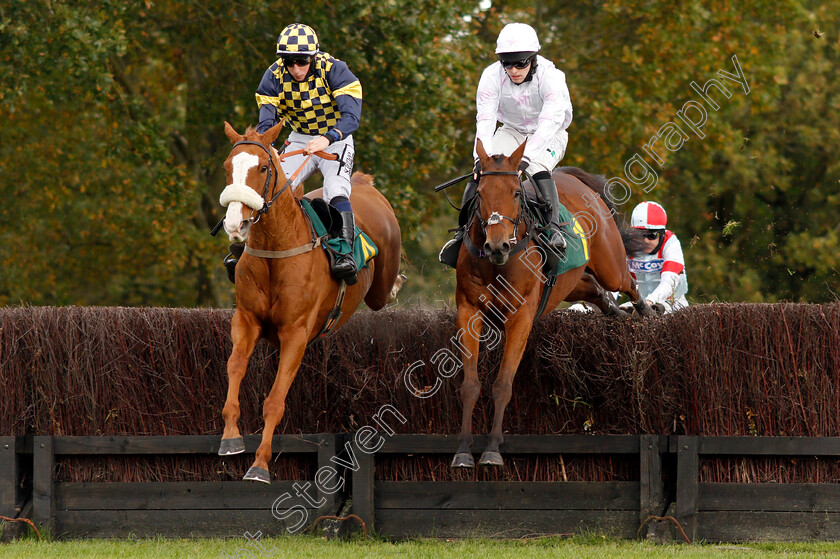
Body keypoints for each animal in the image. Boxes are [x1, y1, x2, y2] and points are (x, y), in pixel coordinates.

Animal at [215, 121, 402, 482]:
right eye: (228, 167)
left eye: (263, 168)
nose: (234, 223)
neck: (276, 248)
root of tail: (363, 184)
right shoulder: (245, 320)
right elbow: (234, 366)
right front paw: (230, 438)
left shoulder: (296, 333)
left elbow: (275, 400)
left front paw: (260, 465)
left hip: (380, 282)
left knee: (385, 288)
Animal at [450, 140, 652, 468]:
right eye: (479, 193)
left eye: (515, 193)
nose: (496, 246)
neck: (497, 265)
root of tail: (574, 179)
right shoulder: (469, 312)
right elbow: (470, 385)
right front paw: (463, 451)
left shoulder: (520, 317)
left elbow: (503, 385)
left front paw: (492, 448)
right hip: (570, 284)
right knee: (595, 290)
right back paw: (616, 312)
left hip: (611, 266)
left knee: (627, 283)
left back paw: (648, 311)